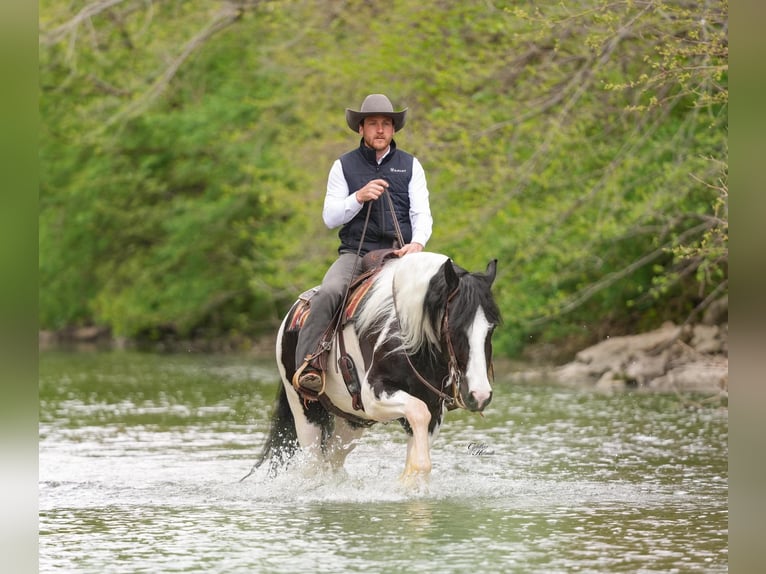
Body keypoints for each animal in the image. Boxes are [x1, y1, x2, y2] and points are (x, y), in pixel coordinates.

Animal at [243, 251, 501, 485]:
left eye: (492, 327)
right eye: (454, 326)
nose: (480, 395)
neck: (407, 333)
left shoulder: (434, 409)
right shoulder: (374, 394)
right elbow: (418, 417)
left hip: (351, 420)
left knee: (332, 458)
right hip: (306, 412)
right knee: (313, 463)